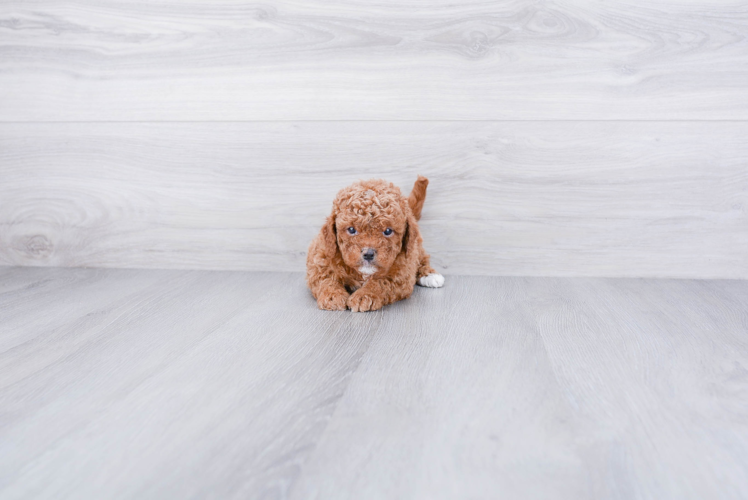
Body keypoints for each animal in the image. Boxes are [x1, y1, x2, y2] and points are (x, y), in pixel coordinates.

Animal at [306, 177, 442, 312]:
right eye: (351, 229)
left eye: (388, 231)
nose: (368, 253)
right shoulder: (321, 258)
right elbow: (326, 279)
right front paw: (332, 295)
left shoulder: (402, 274)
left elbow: (382, 282)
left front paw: (365, 295)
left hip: (415, 248)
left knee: (423, 259)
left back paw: (431, 275)